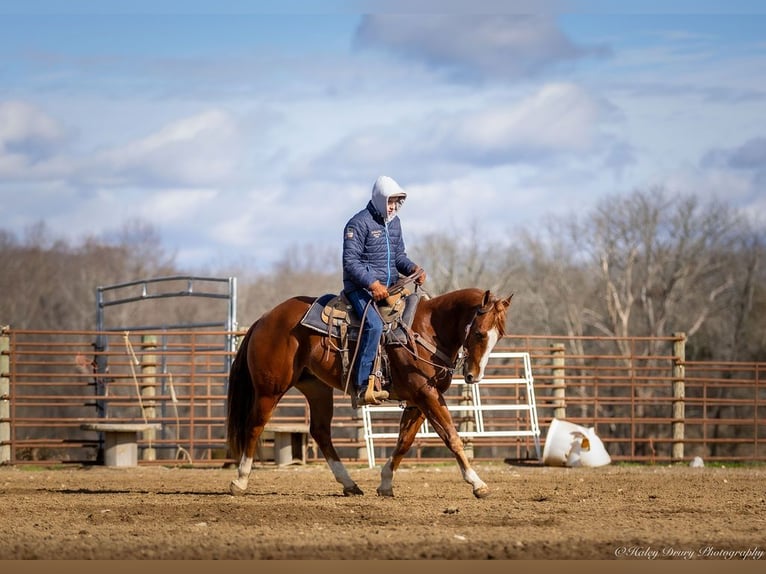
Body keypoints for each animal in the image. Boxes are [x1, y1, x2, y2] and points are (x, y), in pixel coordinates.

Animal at [228, 288, 516, 500]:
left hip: (316, 388)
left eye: (499, 336)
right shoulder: (427, 395)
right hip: (270, 390)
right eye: (479, 333)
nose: (474, 376)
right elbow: (452, 438)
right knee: (254, 426)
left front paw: (386, 484)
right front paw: (477, 483)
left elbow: (404, 441)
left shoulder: (418, 401)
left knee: (320, 432)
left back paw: (349, 484)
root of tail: (265, 319)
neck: (427, 330)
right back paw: (240, 480)